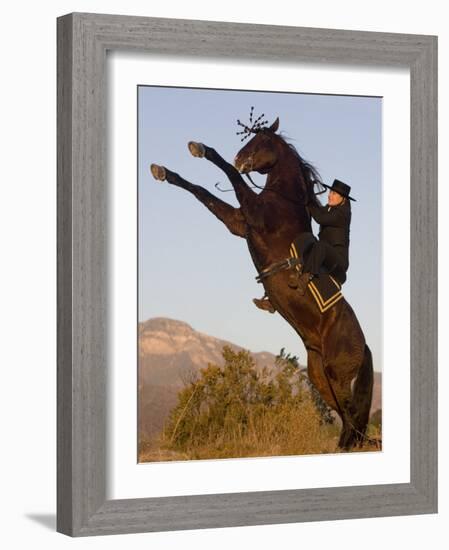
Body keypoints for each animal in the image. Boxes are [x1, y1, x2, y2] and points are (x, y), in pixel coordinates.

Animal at [149, 117, 372, 452]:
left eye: (262, 141)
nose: (241, 158)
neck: (283, 200)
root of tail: (364, 344)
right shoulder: (238, 222)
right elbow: (202, 192)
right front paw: (163, 171)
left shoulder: (252, 214)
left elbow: (227, 174)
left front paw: (202, 150)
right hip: (321, 377)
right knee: (346, 417)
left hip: (338, 373)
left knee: (352, 417)